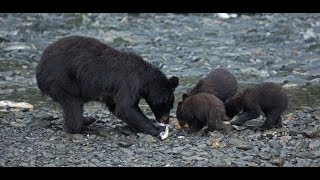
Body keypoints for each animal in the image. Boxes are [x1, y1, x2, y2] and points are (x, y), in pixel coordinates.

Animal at [37, 35, 180, 139]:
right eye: (169, 103)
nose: (166, 120)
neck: (146, 80)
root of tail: (39, 70)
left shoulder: (114, 92)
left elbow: (116, 106)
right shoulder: (130, 82)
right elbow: (125, 108)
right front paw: (158, 129)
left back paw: (88, 120)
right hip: (63, 80)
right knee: (73, 104)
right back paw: (86, 128)